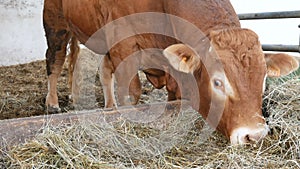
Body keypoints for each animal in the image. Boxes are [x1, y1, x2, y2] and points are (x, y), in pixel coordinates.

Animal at [43, 0, 298, 145]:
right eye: (217, 82)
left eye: (264, 80)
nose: (254, 135)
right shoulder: (123, 45)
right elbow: (132, 92)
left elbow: (173, 98)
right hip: (56, 23)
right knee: (55, 61)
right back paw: (53, 102)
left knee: (103, 71)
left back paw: (106, 106)